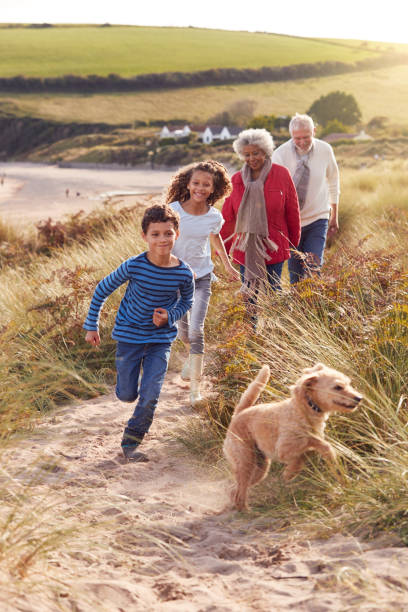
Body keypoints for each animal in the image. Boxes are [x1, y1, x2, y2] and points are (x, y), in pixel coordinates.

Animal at [223, 364, 364, 512]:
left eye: (348, 383)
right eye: (338, 387)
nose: (359, 398)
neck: (306, 408)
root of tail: (238, 414)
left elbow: (310, 450)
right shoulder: (285, 448)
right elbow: (315, 446)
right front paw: (290, 472)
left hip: (260, 468)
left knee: (235, 490)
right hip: (246, 461)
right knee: (240, 492)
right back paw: (246, 510)